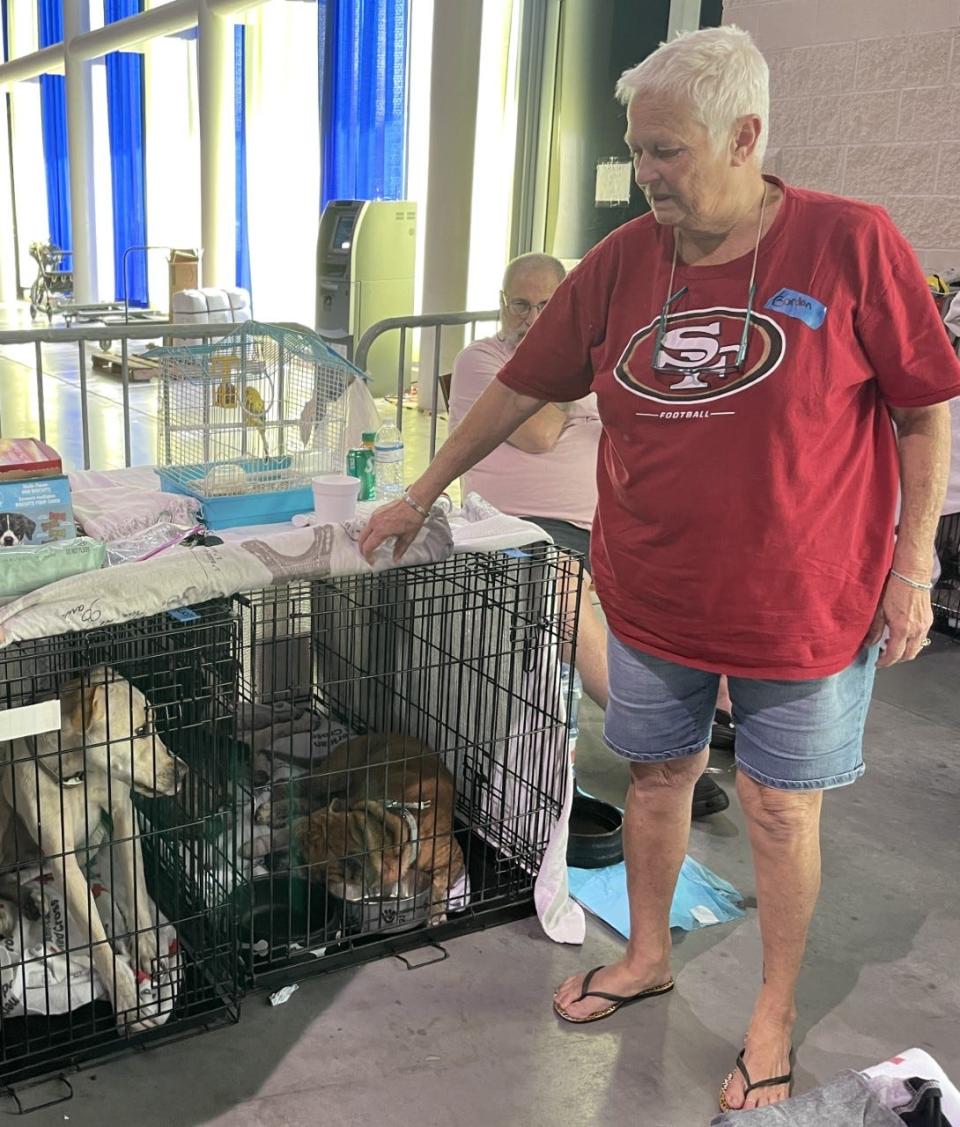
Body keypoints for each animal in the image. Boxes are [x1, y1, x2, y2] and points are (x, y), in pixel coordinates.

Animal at [0, 667, 189, 1032]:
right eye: (139, 731)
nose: (183, 772)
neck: (77, 774)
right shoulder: (64, 863)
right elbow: (99, 940)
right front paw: (126, 998)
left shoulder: (123, 814)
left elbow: (136, 886)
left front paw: (146, 945)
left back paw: (31, 898)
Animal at [254, 730, 464, 924]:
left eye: (308, 866)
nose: (269, 859)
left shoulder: (454, 857)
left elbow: (438, 881)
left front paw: (436, 911)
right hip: (334, 775)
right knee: (289, 784)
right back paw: (271, 810)